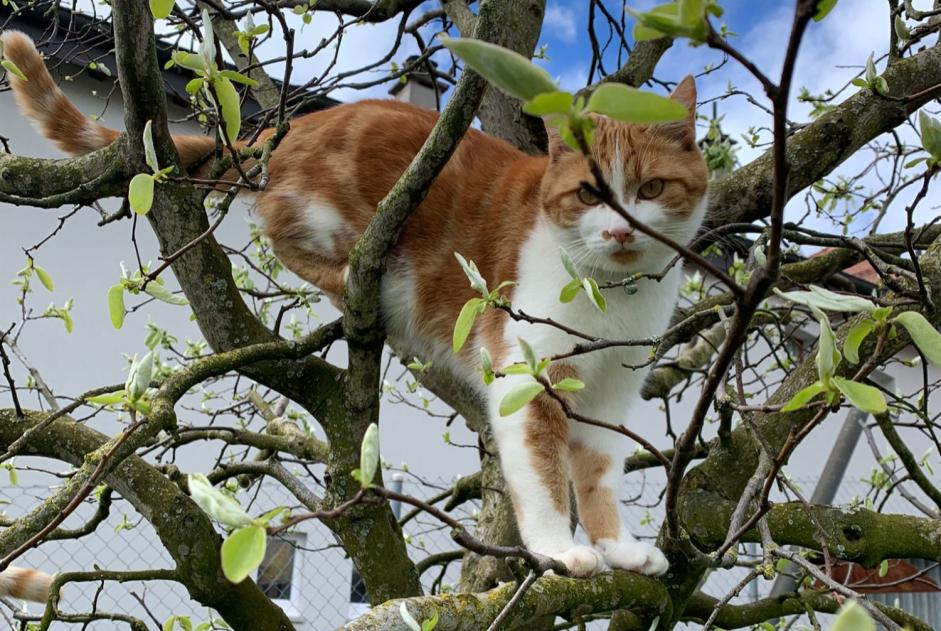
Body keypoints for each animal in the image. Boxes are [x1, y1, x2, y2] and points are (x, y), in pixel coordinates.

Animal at [1, 29, 704, 592]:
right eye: (588, 193)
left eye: (650, 188)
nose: (618, 231)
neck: (613, 299)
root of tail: (292, 127)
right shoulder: (527, 380)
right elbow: (545, 474)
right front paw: (561, 551)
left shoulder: (611, 396)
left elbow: (597, 476)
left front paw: (618, 548)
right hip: (332, 218)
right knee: (282, 234)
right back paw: (351, 285)